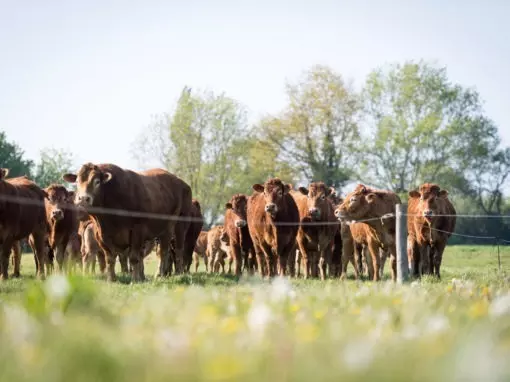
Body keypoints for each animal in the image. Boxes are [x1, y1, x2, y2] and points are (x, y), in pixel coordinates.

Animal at [62, 163, 193, 282]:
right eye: (77, 181)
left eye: (97, 181)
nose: (83, 199)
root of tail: (181, 182)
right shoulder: (102, 234)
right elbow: (110, 258)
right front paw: (111, 279)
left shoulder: (137, 231)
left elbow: (134, 257)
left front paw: (135, 279)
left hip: (176, 226)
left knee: (171, 251)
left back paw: (170, 274)